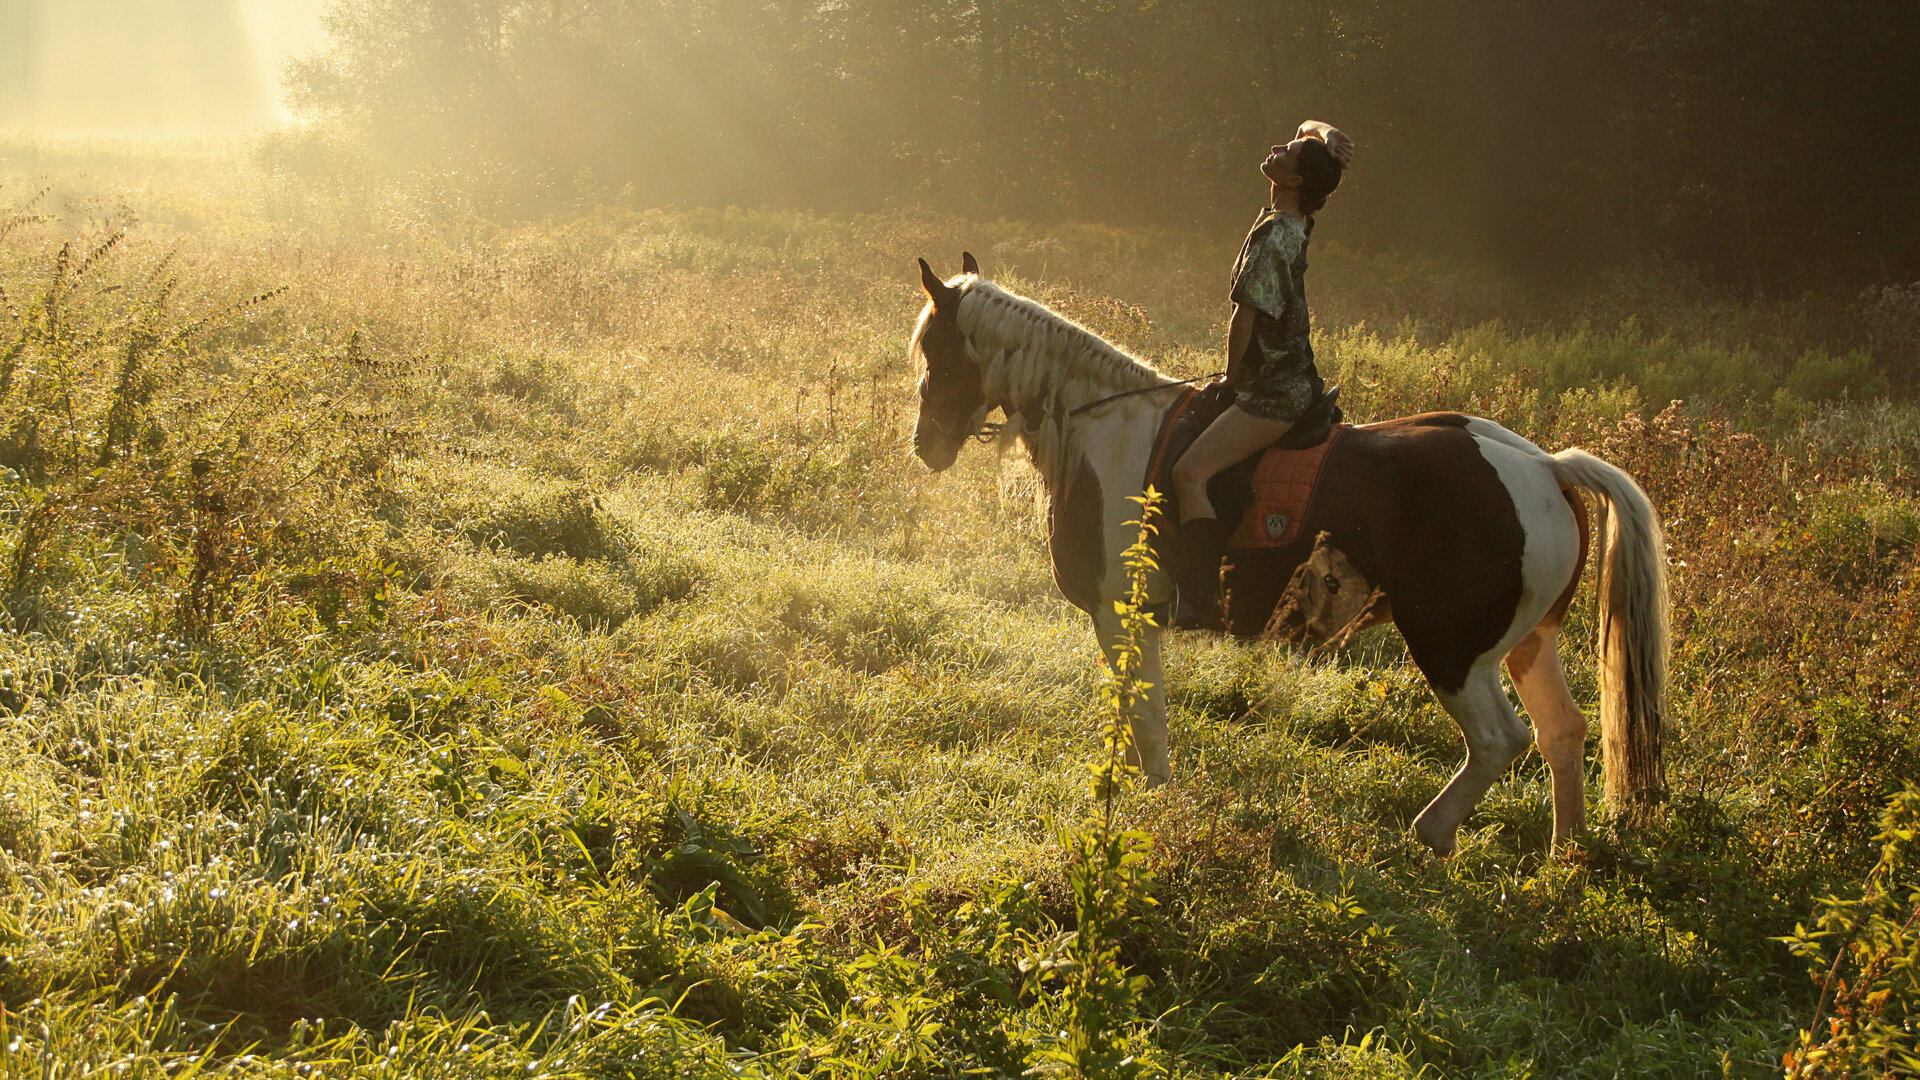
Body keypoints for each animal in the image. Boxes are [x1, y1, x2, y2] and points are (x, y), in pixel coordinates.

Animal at [906, 251, 1674, 849]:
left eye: (937, 348)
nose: (925, 443)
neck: (1109, 430)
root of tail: (1545, 468)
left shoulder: (1120, 614)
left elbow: (1145, 720)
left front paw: (1150, 800)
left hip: (1452, 650)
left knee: (1499, 741)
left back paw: (1433, 832)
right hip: (1527, 645)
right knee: (1563, 735)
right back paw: (1565, 857)